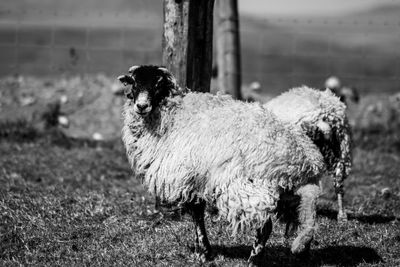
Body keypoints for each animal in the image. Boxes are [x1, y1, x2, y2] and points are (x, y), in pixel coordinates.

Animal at [118, 65, 324, 264]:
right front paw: (201, 251)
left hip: (245, 187)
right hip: (289, 193)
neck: (173, 115)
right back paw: (302, 252)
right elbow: (197, 213)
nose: (141, 106)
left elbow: (197, 214)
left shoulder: (188, 177)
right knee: (306, 219)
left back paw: (253, 261)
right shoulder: (197, 180)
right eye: (134, 83)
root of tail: (305, 159)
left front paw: (204, 253)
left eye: (158, 84)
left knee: (265, 225)